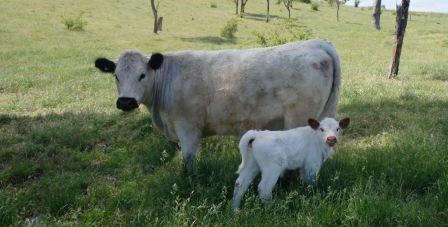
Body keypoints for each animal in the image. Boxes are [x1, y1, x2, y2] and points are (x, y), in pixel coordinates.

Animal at [93, 39, 340, 168]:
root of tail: (315, 43)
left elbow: (188, 161)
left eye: (142, 75)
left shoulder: (188, 127)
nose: (125, 101)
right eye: (116, 75)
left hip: (299, 119)